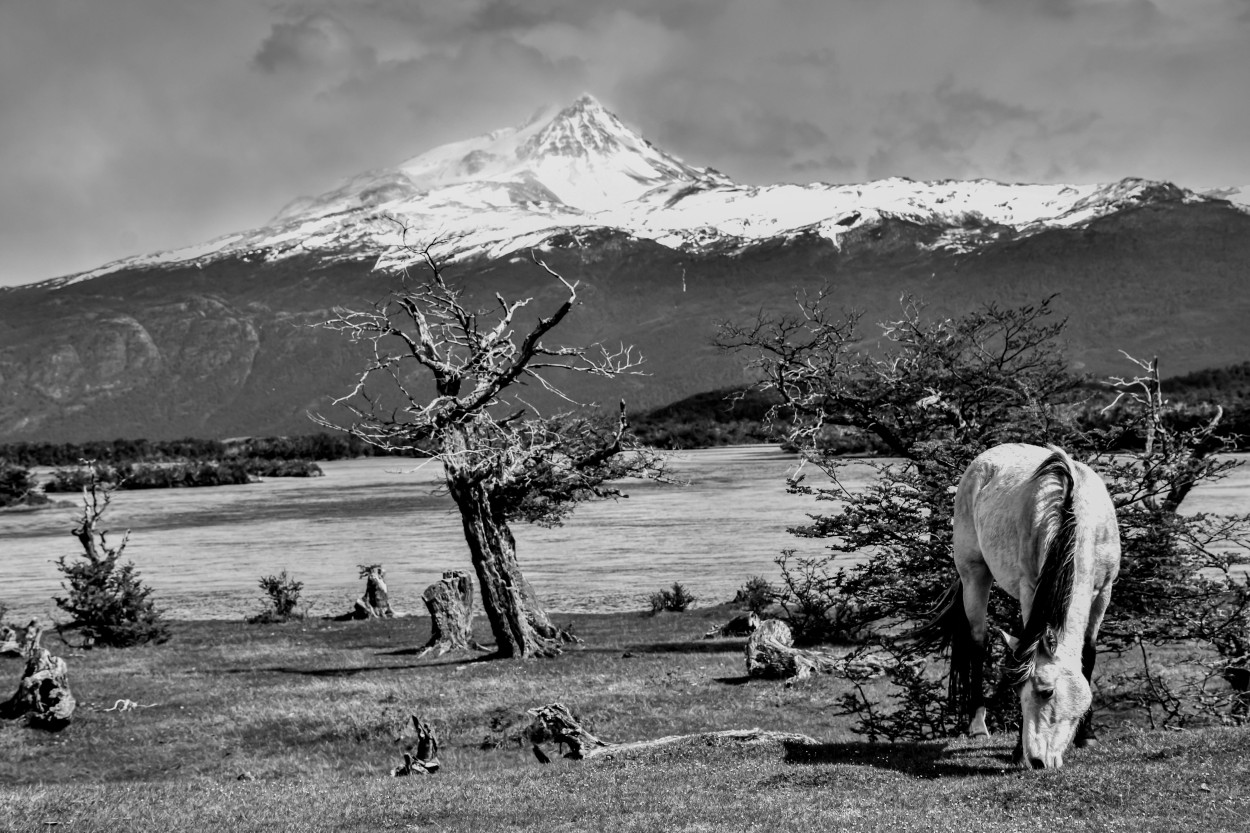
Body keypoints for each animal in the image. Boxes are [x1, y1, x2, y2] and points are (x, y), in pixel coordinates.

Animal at [930, 440, 1125, 765]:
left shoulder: (1104, 592)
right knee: (977, 642)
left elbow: (1089, 654)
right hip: (974, 574)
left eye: (1046, 691)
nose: (1036, 760)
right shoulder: (1031, 588)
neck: (1073, 516)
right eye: (1020, 689)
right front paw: (1016, 750)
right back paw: (978, 726)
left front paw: (1087, 735)